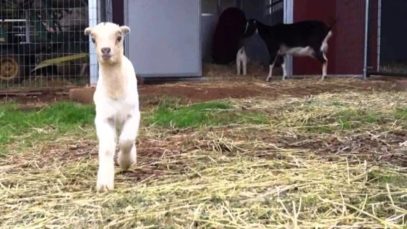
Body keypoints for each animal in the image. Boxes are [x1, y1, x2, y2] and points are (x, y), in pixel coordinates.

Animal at [84, 22, 140, 191]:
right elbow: (107, 147)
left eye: (119, 37)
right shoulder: (103, 118)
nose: (105, 50)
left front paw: (125, 162)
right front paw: (104, 184)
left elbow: (127, 140)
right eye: (93, 39)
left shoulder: (133, 114)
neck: (116, 92)